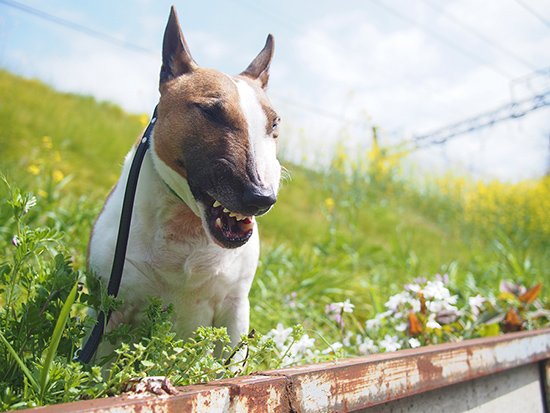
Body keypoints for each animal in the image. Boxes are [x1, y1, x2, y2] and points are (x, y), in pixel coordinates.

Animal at [89, 6, 284, 358]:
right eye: (211, 112)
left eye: (274, 124)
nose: (261, 197)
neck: (188, 226)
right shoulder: (110, 308)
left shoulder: (235, 311)